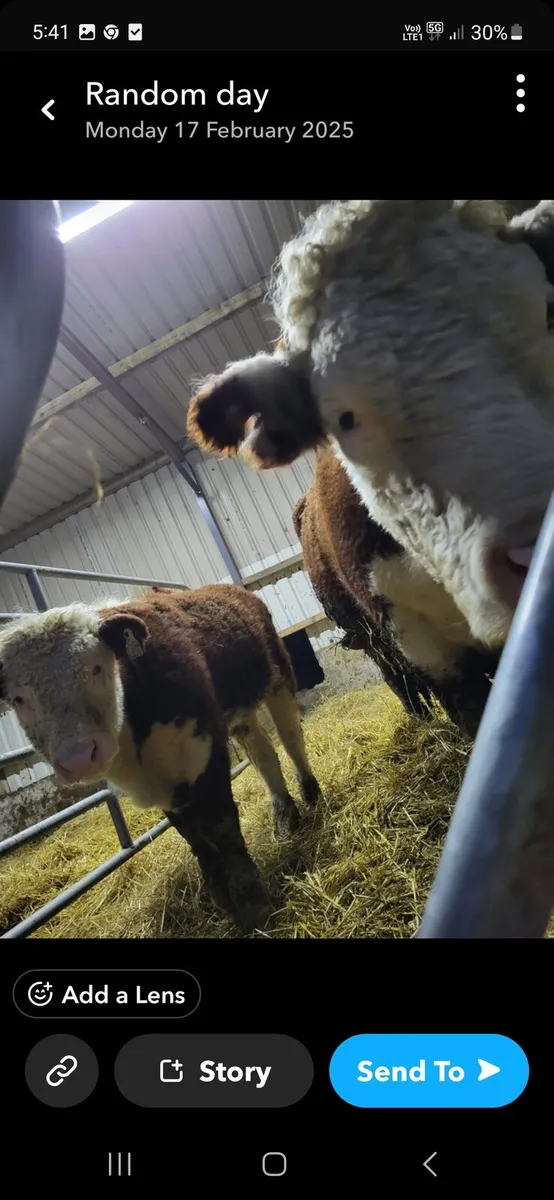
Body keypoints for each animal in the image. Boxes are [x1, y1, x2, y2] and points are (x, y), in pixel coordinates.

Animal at [0, 586, 322, 933]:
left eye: (96, 668)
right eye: (18, 699)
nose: (79, 757)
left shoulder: (203, 751)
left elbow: (221, 828)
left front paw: (253, 905)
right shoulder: (165, 784)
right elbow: (194, 837)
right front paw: (222, 899)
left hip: (278, 675)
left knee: (290, 736)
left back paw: (310, 792)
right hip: (241, 714)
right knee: (263, 754)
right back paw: (285, 814)